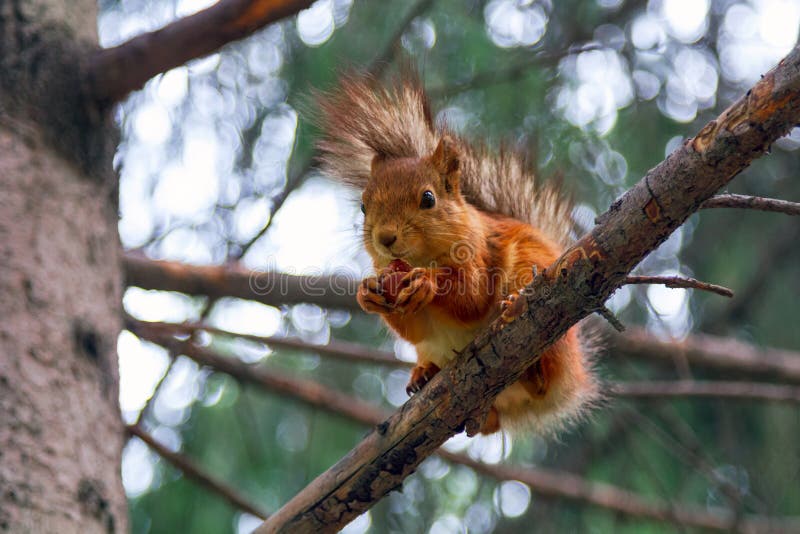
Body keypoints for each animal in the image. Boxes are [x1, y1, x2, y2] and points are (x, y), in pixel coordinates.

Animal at [314, 71, 597, 435]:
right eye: (363, 207)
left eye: (428, 198)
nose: (385, 237)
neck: (421, 258)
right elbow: (414, 328)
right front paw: (368, 292)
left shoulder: (480, 253)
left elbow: (471, 297)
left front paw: (427, 282)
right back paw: (425, 374)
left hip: (534, 279)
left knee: (543, 376)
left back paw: (533, 369)